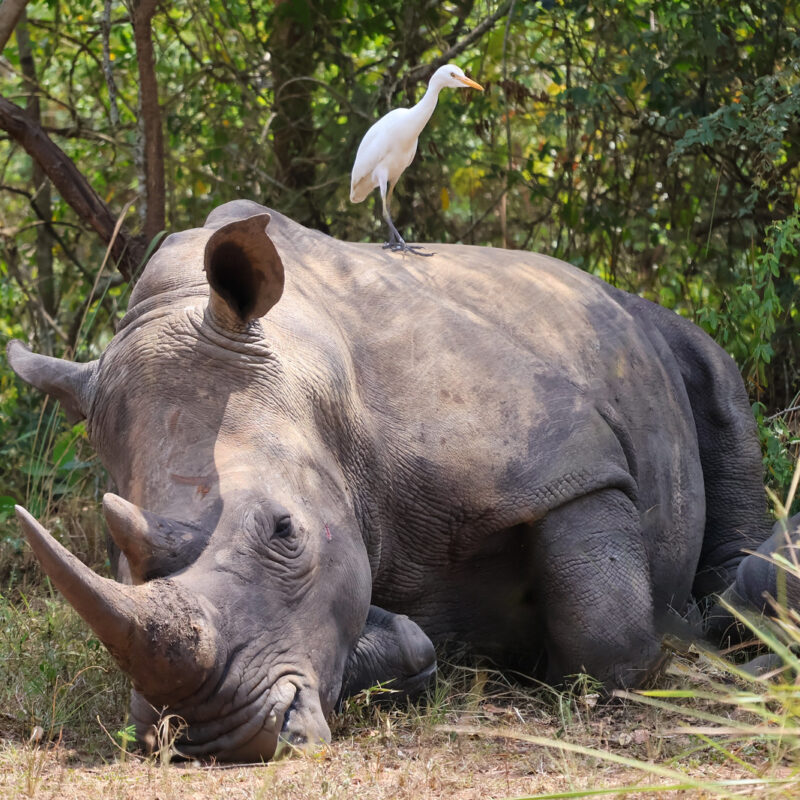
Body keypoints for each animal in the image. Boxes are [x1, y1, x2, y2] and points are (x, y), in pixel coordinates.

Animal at [7, 199, 772, 761]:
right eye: (117, 558)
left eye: (285, 531)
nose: (214, 738)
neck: (314, 379)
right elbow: (381, 632)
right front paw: (407, 647)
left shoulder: (563, 453)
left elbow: (609, 640)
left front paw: (655, 640)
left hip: (644, 322)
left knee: (714, 371)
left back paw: (724, 615)